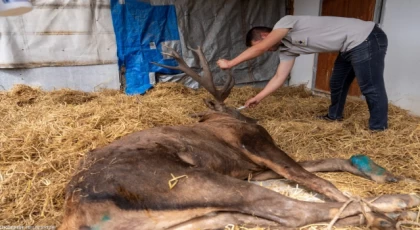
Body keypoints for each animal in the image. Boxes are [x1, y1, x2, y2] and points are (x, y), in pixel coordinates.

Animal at [59, 45, 420, 230]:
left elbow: (318, 166)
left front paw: (378, 173)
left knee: (263, 216)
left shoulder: (251, 167)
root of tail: (77, 214)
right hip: (189, 181)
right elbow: (315, 178)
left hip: (193, 219)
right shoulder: (256, 145)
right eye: (234, 109)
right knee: (292, 212)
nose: (247, 114)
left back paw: (382, 214)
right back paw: (394, 207)